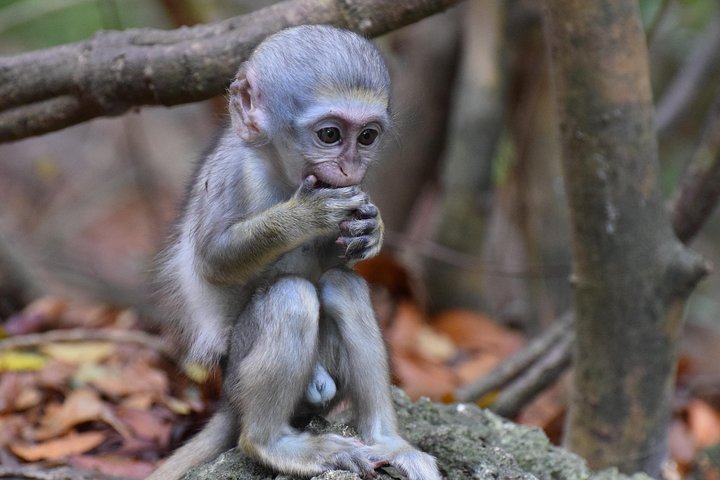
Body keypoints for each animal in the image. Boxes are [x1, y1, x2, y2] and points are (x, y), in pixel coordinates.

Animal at [148, 25, 441, 480]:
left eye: (367, 136)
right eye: (330, 135)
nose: (350, 167)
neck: (280, 173)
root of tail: (229, 400)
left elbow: (337, 260)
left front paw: (372, 229)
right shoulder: (235, 174)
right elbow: (212, 263)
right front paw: (304, 216)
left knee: (343, 287)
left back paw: (387, 442)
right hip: (242, 371)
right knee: (290, 296)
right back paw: (271, 444)